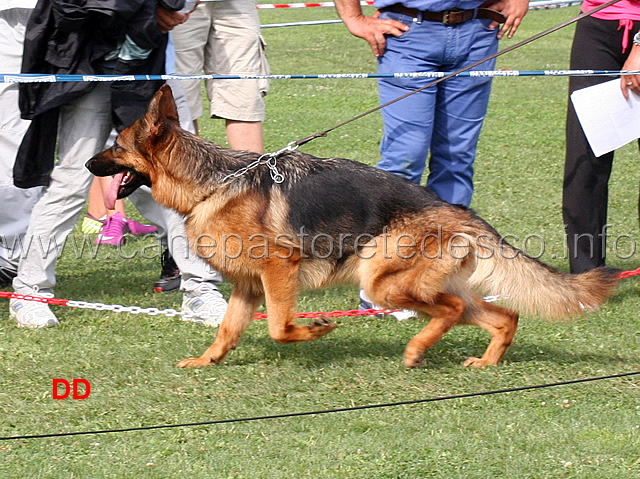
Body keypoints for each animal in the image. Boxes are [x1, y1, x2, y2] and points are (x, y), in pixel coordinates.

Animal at [87, 86, 616, 370]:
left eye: (116, 146)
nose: (89, 164)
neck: (213, 182)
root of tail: (456, 211)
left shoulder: (278, 271)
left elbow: (279, 327)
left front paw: (315, 328)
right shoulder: (247, 287)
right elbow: (227, 331)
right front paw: (206, 361)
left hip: (382, 281)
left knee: (446, 311)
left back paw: (415, 350)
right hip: (434, 287)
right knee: (503, 316)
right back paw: (484, 362)